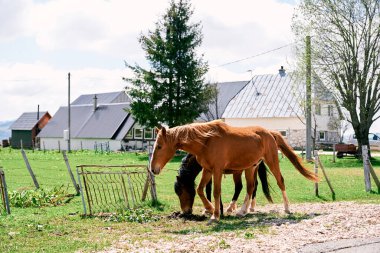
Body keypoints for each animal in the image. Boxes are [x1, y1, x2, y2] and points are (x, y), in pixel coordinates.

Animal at [151, 119, 318, 222]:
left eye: (159, 146)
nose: (153, 169)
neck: (206, 141)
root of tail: (270, 133)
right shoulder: (208, 170)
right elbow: (200, 190)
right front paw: (210, 209)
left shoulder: (217, 171)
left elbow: (215, 192)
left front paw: (216, 215)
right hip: (251, 168)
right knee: (251, 187)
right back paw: (242, 210)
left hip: (271, 161)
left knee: (280, 182)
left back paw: (287, 208)